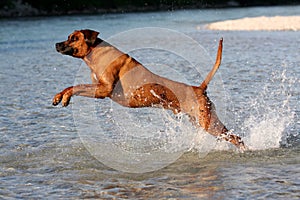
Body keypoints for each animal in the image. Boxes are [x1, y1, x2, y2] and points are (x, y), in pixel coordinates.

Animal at [54, 28, 246, 151]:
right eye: (68, 37)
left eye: (73, 38)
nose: (56, 44)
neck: (96, 54)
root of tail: (199, 88)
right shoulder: (99, 89)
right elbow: (74, 86)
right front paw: (59, 96)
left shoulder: (103, 90)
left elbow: (75, 86)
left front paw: (65, 97)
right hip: (208, 122)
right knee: (235, 137)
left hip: (207, 123)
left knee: (234, 137)